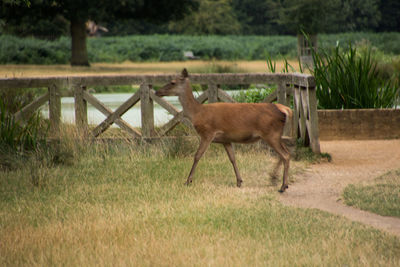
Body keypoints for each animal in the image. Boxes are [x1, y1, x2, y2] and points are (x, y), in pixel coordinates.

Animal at [155, 68, 292, 192]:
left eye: (172, 82)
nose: (157, 91)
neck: (197, 113)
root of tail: (284, 109)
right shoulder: (226, 139)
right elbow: (232, 158)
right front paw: (239, 181)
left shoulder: (207, 133)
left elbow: (197, 155)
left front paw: (188, 181)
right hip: (275, 135)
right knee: (286, 152)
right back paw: (275, 179)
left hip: (270, 133)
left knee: (285, 155)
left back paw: (282, 186)